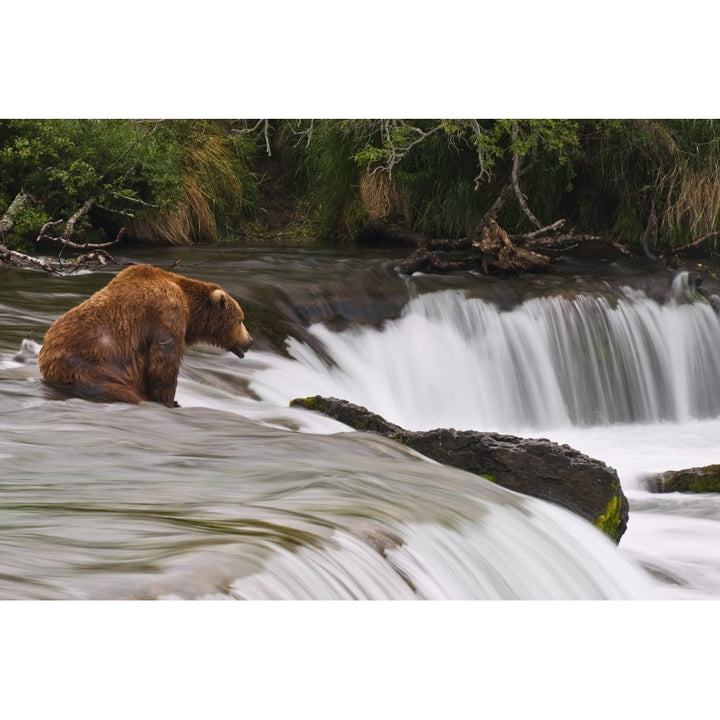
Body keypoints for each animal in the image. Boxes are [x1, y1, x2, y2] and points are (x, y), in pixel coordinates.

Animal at [39, 266, 255, 410]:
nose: (250, 341)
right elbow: (164, 361)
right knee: (123, 391)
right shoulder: (168, 313)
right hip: (88, 367)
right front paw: (171, 401)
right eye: (241, 319)